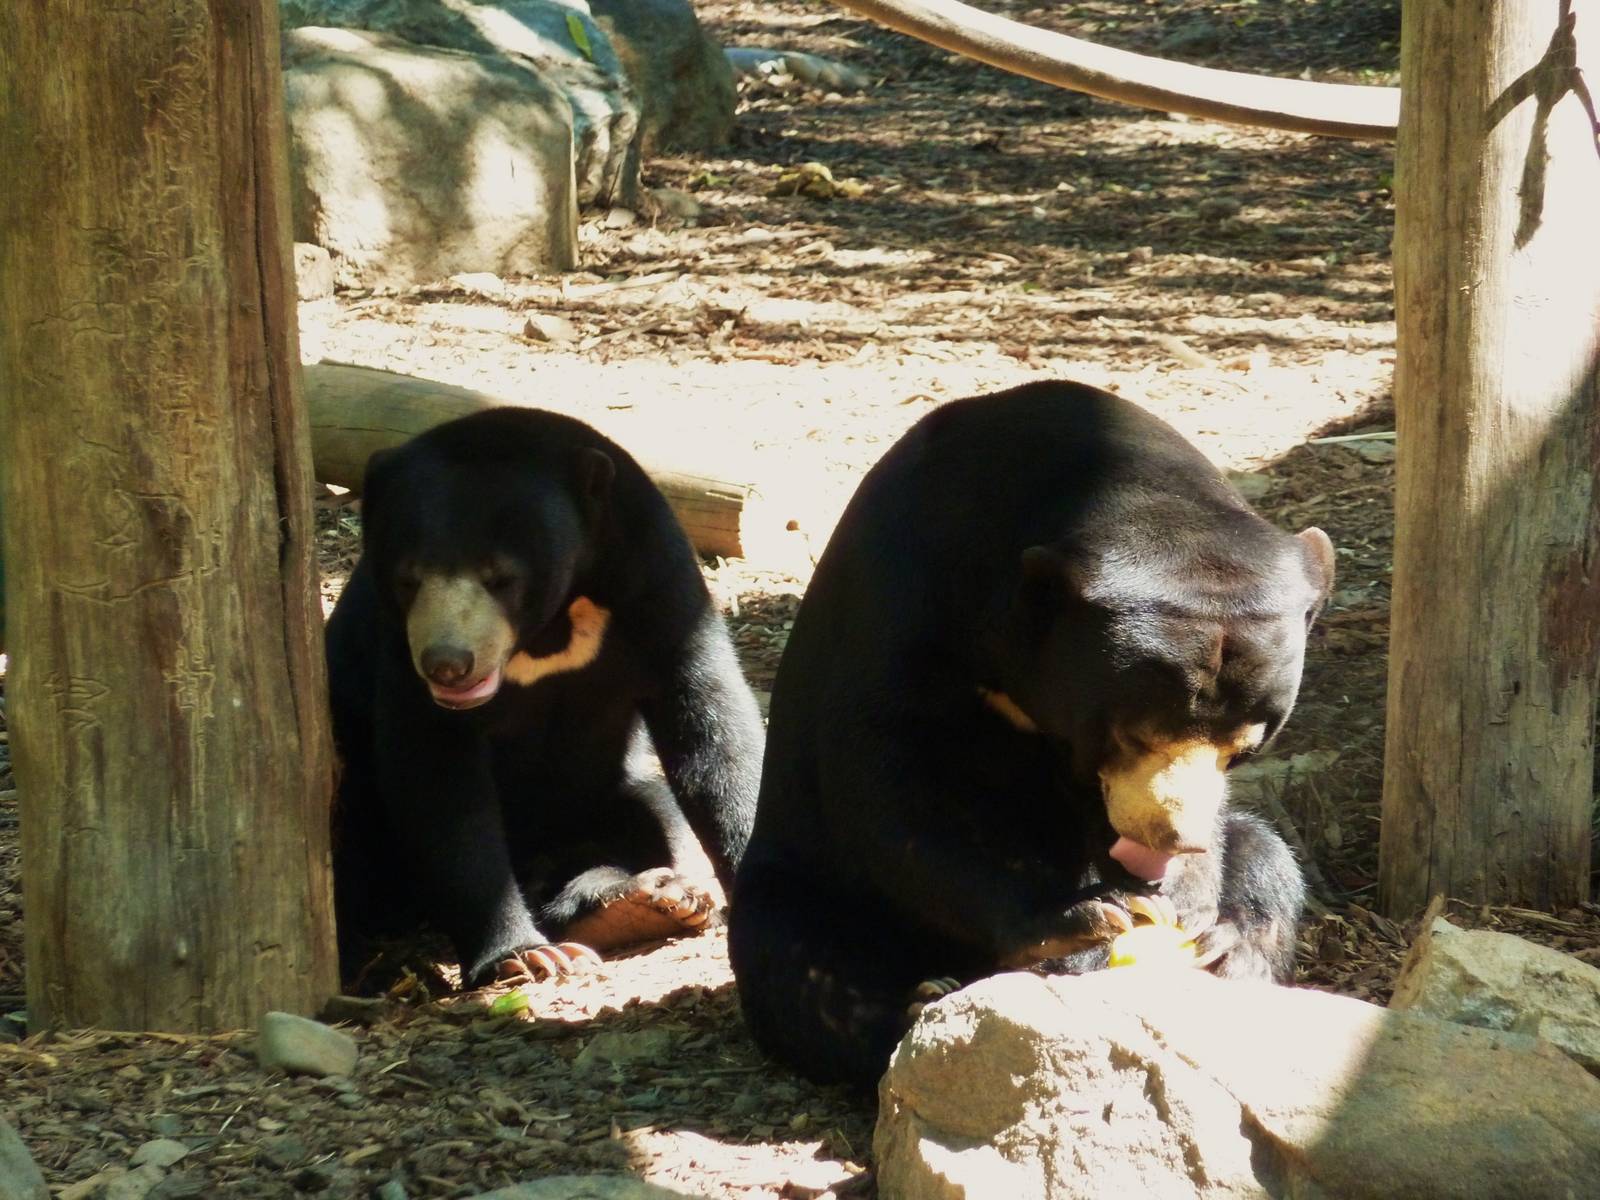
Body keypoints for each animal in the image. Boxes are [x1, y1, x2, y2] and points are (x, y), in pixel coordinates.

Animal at [326, 406, 765, 990]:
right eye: (408, 579)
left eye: (500, 577)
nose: (448, 663)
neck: (549, 628)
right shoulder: (395, 649)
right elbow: (438, 780)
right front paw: (523, 957)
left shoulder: (657, 584)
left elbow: (711, 729)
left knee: (651, 813)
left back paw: (650, 898)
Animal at [728, 380, 1333, 1088]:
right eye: (1131, 732)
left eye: (1245, 746)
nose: (1170, 839)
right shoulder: (898, 599)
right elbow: (888, 781)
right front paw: (1084, 916)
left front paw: (1185, 908)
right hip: (809, 883)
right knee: (800, 958)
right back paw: (917, 1004)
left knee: (1266, 857)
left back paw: (1230, 950)